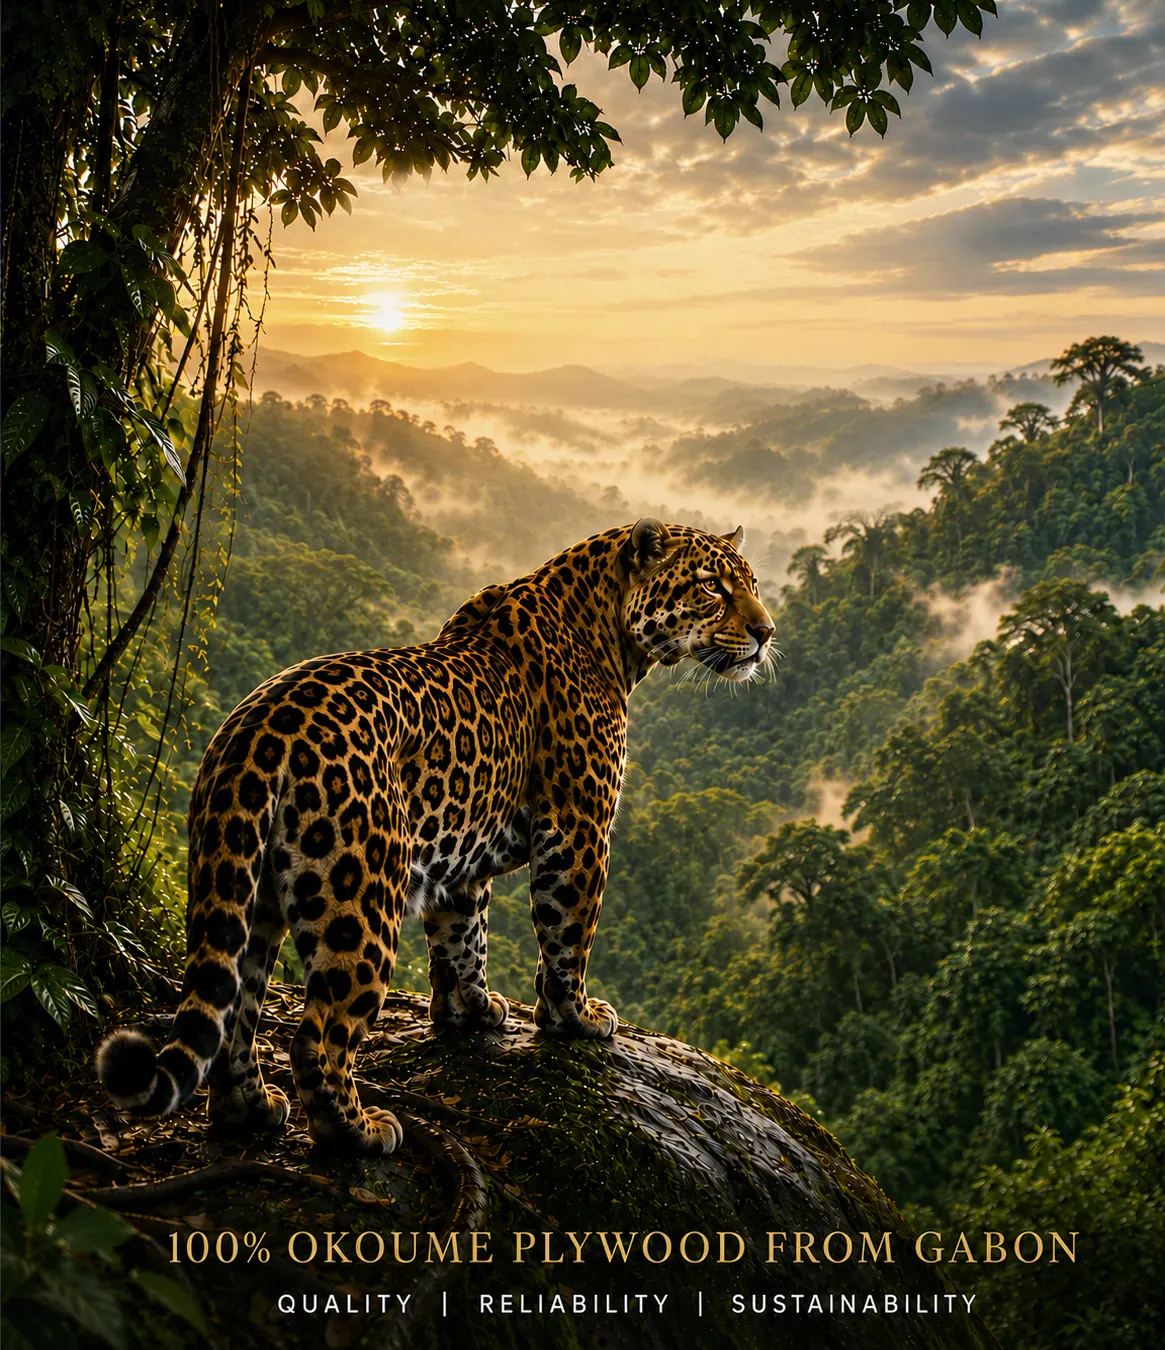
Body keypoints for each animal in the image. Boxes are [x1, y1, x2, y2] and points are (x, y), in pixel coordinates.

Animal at [97, 519, 775, 1155]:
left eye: (753, 583)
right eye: (712, 586)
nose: (767, 632)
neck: (609, 629)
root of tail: (256, 731)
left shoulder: (460, 852)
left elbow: (461, 936)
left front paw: (469, 1011)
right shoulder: (578, 827)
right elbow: (567, 936)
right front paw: (575, 1018)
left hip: (245, 888)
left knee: (236, 1004)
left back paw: (250, 1108)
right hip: (362, 902)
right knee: (317, 1035)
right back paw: (358, 1132)